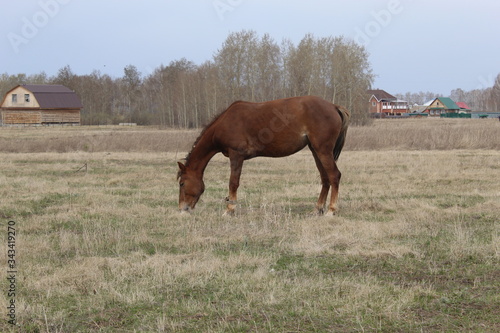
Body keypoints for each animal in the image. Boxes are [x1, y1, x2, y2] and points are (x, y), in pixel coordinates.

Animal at [178, 96, 350, 215]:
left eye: (181, 183)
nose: (182, 208)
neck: (225, 122)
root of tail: (334, 106)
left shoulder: (236, 155)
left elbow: (233, 183)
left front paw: (229, 209)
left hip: (323, 150)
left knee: (334, 175)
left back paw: (331, 210)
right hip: (316, 151)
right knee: (325, 178)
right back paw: (318, 209)